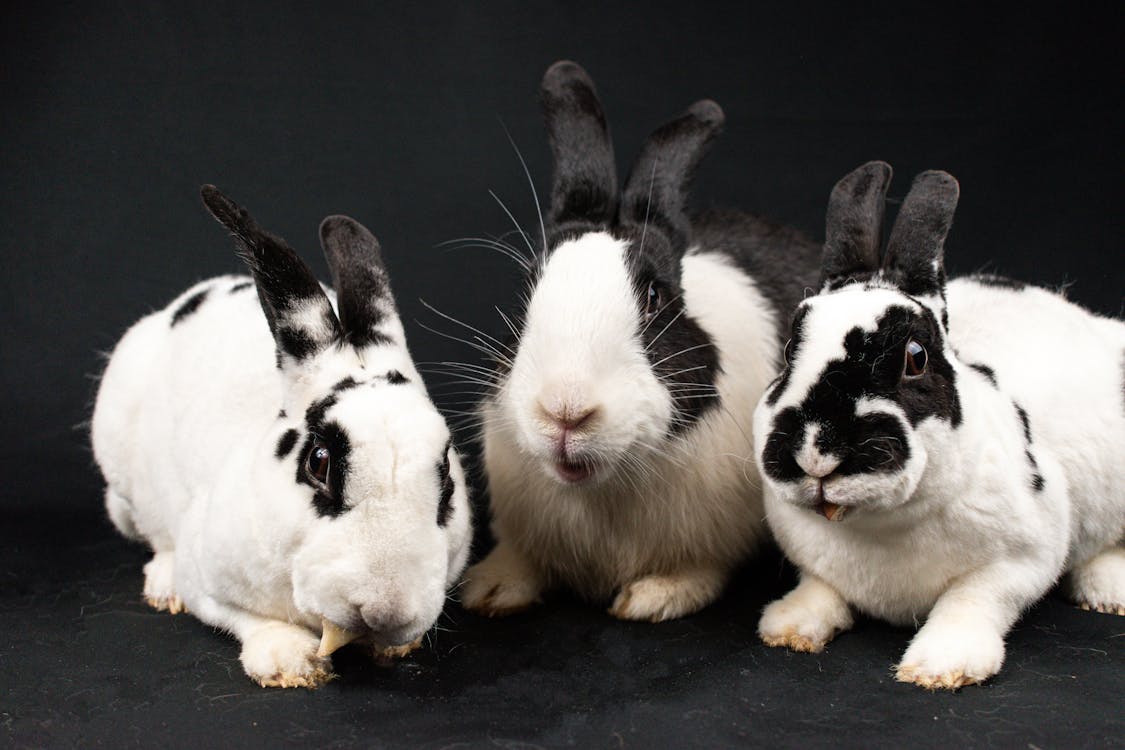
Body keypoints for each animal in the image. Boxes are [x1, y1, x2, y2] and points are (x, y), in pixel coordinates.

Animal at [91, 186, 470, 688]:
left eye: (446, 472)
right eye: (318, 461)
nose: (385, 610)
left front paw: (393, 647)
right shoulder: (205, 576)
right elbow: (241, 615)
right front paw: (290, 662)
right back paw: (163, 587)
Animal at [461, 60, 823, 620]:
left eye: (655, 297)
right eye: (528, 288)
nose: (565, 412)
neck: (601, 487)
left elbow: (697, 570)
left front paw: (652, 598)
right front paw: (490, 588)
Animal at [756, 163, 1125, 692]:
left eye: (916, 357)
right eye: (790, 351)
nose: (815, 454)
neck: (878, 527)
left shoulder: (1020, 561)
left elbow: (971, 601)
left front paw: (941, 666)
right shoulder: (814, 561)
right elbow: (820, 588)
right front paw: (788, 627)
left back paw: (1110, 591)